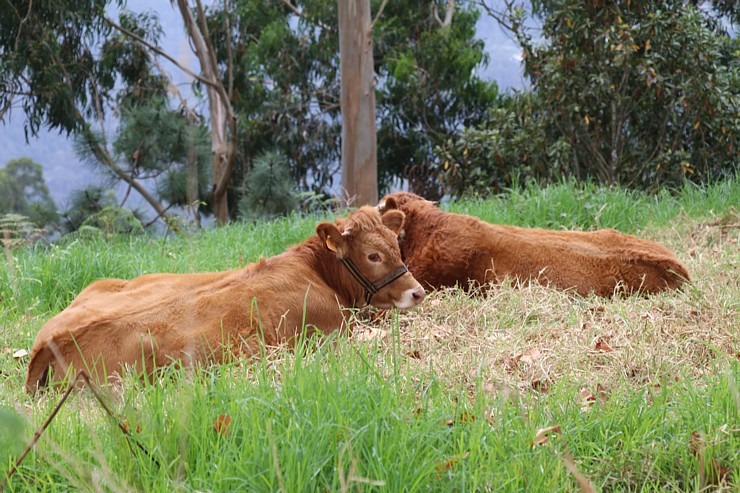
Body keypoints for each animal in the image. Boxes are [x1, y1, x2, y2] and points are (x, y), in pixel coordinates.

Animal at [26, 205, 424, 392]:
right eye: (373, 255)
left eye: (397, 243)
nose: (417, 292)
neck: (314, 270)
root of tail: (53, 340)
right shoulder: (335, 328)